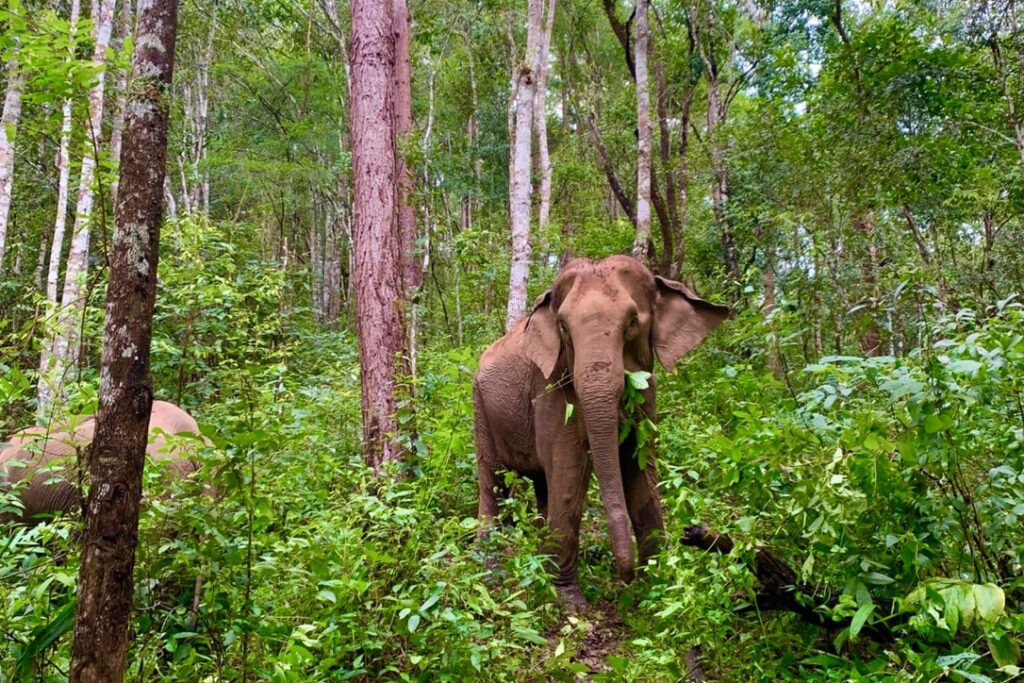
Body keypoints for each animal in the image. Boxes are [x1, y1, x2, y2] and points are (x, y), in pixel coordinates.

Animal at [473, 255, 728, 603]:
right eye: (563, 327)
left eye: (632, 322)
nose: (626, 579)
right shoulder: (551, 385)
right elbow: (569, 470)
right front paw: (569, 603)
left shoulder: (647, 394)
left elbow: (641, 466)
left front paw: (658, 589)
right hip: (480, 409)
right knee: (493, 480)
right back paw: (490, 565)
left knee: (541, 482)